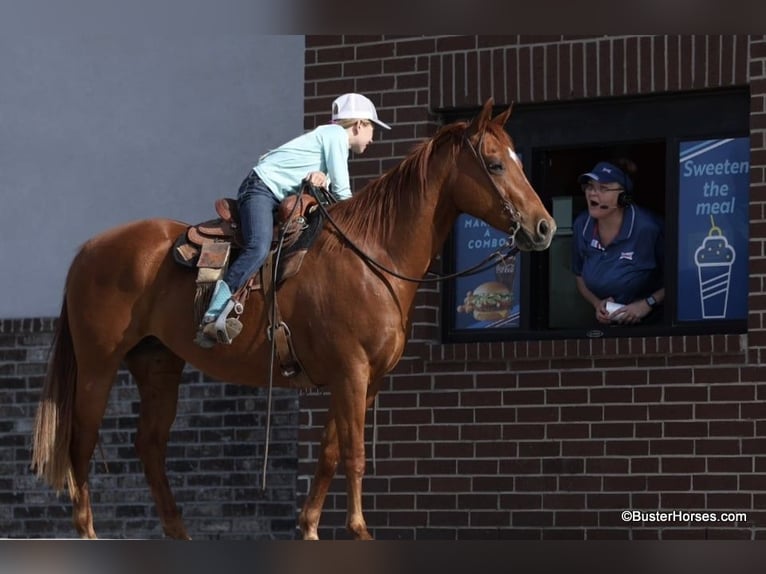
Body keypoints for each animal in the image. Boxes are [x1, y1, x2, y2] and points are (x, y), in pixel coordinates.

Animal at [31, 97, 560, 544]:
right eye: (495, 163)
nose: (544, 227)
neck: (373, 255)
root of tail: (89, 249)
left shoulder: (362, 381)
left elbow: (329, 453)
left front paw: (309, 528)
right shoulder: (351, 372)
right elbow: (354, 454)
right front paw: (359, 530)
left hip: (158, 364)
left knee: (150, 445)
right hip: (98, 365)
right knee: (81, 441)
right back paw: (88, 532)